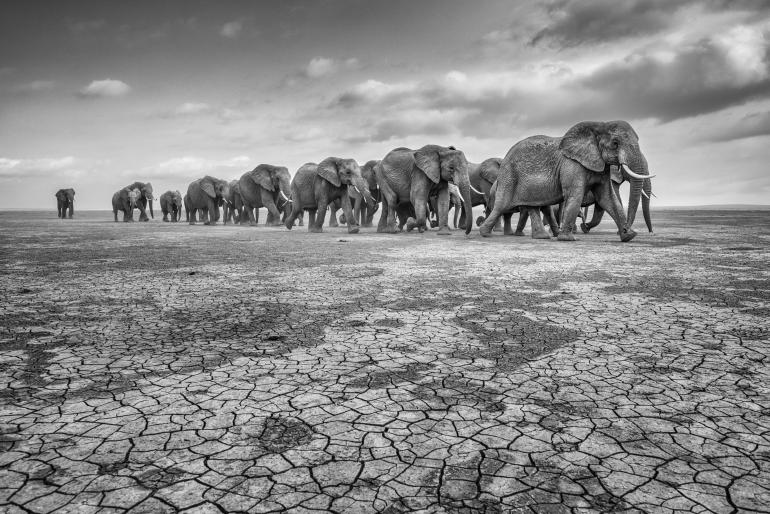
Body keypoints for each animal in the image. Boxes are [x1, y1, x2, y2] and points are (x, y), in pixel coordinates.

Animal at [476, 120, 652, 242]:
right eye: (615, 143)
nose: (627, 230)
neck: (598, 125)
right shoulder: (571, 164)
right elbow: (575, 194)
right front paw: (568, 239)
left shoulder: (602, 166)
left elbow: (607, 198)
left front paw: (629, 236)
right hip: (509, 176)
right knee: (502, 205)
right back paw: (485, 233)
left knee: (532, 205)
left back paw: (542, 237)